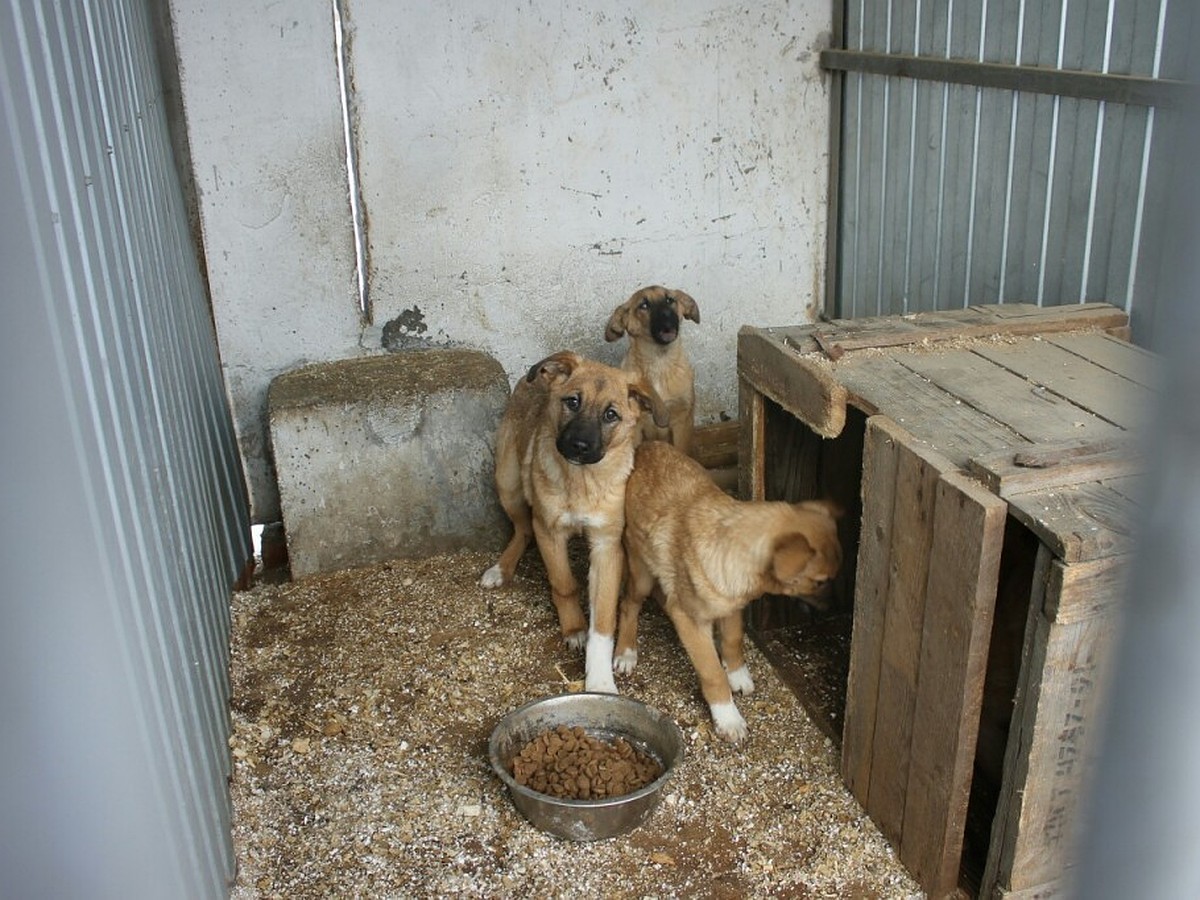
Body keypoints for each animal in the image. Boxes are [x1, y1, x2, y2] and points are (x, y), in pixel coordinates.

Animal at [477, 348, 667, 696]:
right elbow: (563, 583)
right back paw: (501, 568)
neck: (583, 482)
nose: (579, 446)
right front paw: (575, 628)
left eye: (611, 415)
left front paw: (600, 681)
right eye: (573, 402)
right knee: (522, 529)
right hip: (508, 482)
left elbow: (603, 620)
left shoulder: (607, 546)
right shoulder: (549, 531)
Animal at [604, 289, 700, 453]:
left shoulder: (682, 420)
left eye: (670, 300)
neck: (659, 363)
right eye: (644, 305)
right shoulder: (635, 427)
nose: (668, 316)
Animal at [614, 441, 840, 744]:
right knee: (629, 604)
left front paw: (738, 675)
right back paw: (626, 652)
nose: (834, 608)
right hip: (641, 573)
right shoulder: (691, 621)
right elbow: (712, 673)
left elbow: (733, 641)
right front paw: (728, 717)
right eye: (819, 582)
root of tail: (646, 445)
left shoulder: (732, 605)